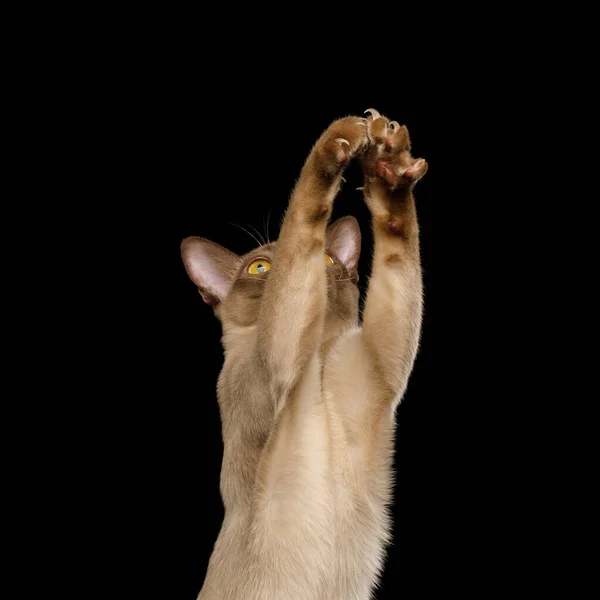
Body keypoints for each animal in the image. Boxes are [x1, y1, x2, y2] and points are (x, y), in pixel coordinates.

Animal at [180, 109, 428, 600]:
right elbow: (301, 217)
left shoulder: (380, 366)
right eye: (259, 268)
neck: (317, 357)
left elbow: (395, 244)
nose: (328, 272)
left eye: (333, 262)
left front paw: (389, 171)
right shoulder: (279, 357)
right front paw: (343, 136)